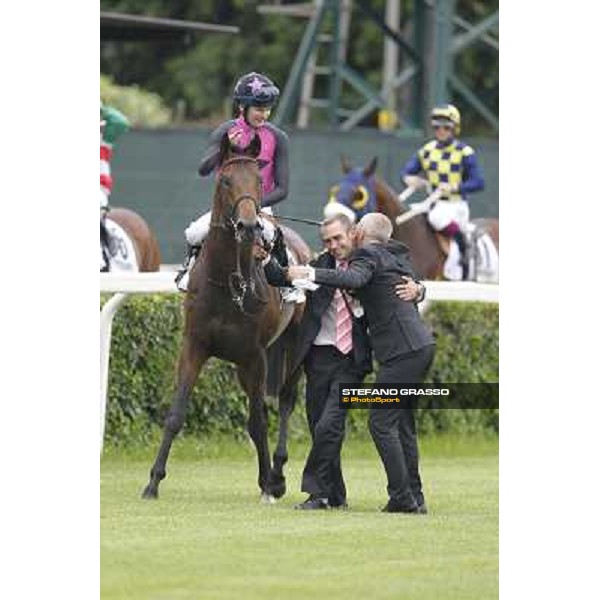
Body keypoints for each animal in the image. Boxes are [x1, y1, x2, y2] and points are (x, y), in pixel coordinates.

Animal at [142, 135, 308, 502]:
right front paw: (153, 482)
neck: (228, 280)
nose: (248, 226)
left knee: (286, 399)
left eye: (258, 180)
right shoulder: (194, 345)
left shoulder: (255, 355)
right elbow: (176, 415)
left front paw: (267, 485)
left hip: (297, 345)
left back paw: (277, 474)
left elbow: (258, 421)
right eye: (225, 180)